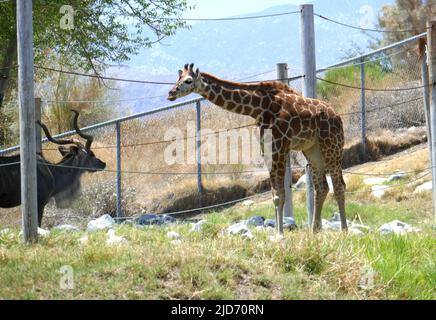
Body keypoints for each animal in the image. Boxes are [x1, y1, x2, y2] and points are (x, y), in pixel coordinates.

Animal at [168, 63, 348, 234]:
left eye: (188, 80)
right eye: (178, 78)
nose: (170, 93)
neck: (259, 108)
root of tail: (337, 116)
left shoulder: (279, 146)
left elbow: (280, 194)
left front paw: (280, 235)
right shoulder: (266, 148)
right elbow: (275, 194)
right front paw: (277, 232)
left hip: (331, 145)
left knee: (339, 186)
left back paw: (344, 230)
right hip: (313, 149)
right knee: (322, 188)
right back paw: (314, 231)